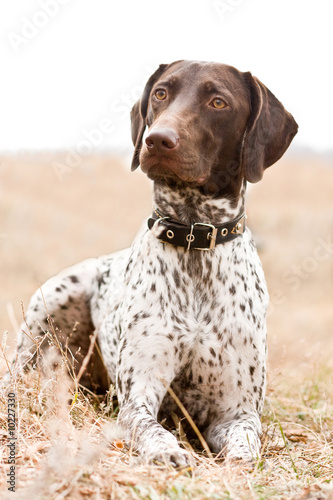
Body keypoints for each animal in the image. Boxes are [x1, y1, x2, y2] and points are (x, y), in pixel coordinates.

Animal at [15, 61, 296, 464]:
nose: (158, 139)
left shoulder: (237, 412)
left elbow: (244, 448)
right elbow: (152, 428)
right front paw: (167, 451)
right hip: (51, 302)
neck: (194, 239)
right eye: (162, 93)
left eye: (218, 102)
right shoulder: (138, 397)